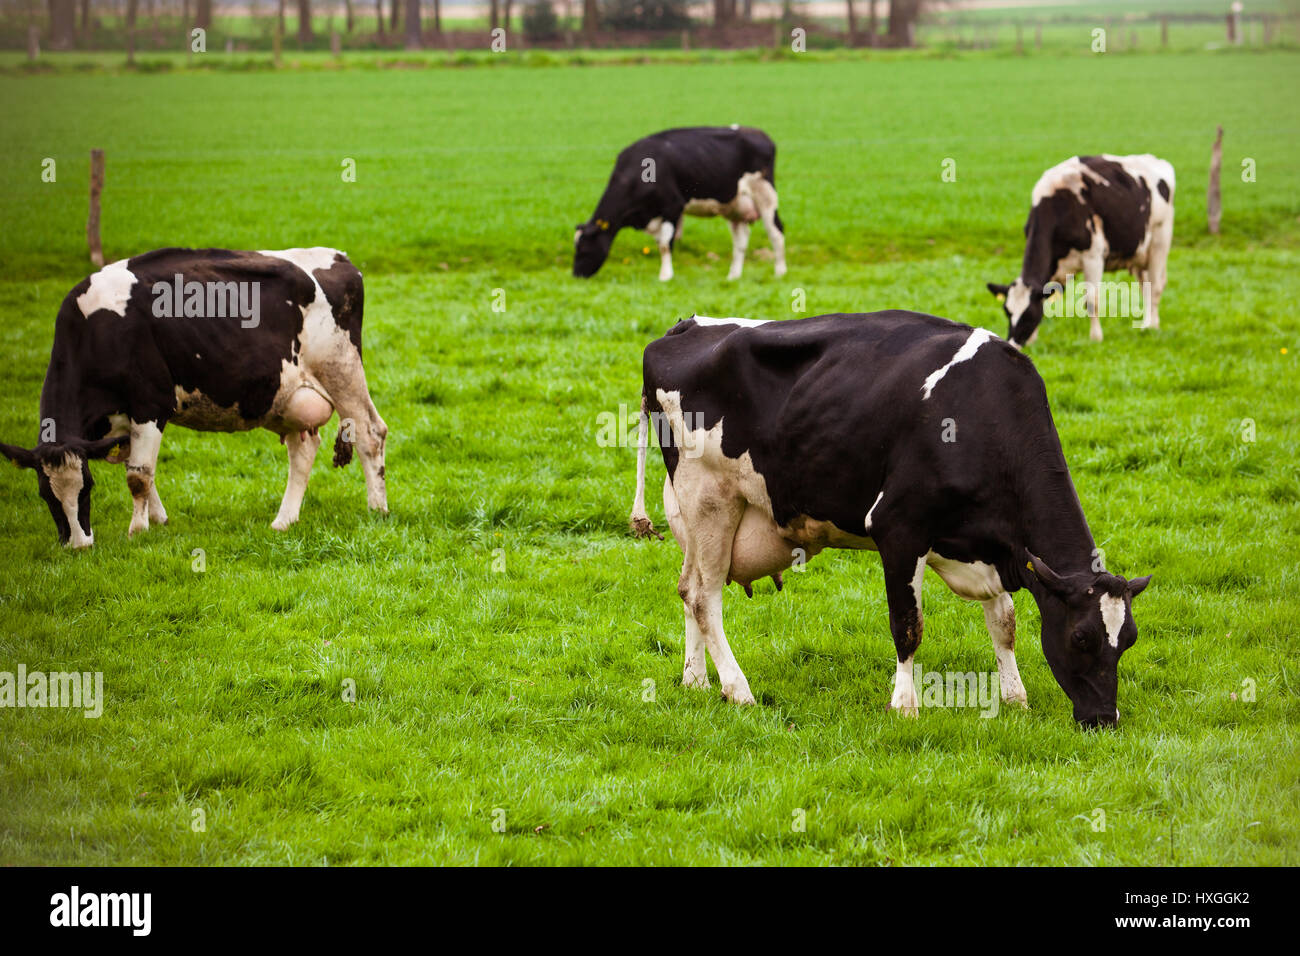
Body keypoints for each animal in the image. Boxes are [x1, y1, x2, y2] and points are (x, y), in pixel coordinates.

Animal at [0, 247, 388, 548]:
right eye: (44, 493)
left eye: (87, 489)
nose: (79, 545)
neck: (94, 330)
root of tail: (340, 259)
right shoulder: (119, 421)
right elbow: (137, 468)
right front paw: (158, 520)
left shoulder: (150, 404)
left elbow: (138, 475)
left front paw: (137, 531)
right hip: (289, 398)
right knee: (303, 450)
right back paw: (284, 520)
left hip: (342, 371)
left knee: (371, 433)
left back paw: (377, 509)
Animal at [573, 125, 786, 282]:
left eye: (583, 248)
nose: (576, 275)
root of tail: (759, 133)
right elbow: (661, 243)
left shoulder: (673, 207)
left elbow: (665, 244)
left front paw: (665, 276)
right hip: (735, 205)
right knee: (741, 241)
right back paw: (733, 276)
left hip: (766, 195)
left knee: (776, 232)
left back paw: (780, 272)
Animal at [629, 312, 1152, 728]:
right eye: (1081, 637)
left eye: (1128, 640)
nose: (1104, 719)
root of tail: (685, 326)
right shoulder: (898, 528)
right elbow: (908, 624)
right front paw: (904, 705)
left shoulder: (993, 544)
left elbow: (1005, 622)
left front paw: (1015, 697)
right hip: (708, 497)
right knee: (704, 597)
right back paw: (738, 690)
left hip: (691, 510)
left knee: (688, 587)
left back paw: (697, 681)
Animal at [987, 154, 1175, 347]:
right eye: (1007, 312)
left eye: (1028, 315)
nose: (1012, 344)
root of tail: (1155, 159)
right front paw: (1033, 340)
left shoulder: (1093, 257)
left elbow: (1092, 300)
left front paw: (1096, 338)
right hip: (1139, 252)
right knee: (1145, 286)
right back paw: (1146, 324)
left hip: (1160, 241)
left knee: (1156, 287)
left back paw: (1152, 327)